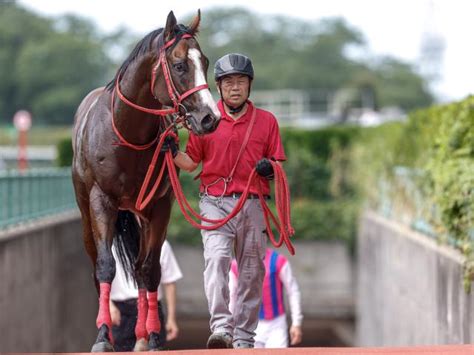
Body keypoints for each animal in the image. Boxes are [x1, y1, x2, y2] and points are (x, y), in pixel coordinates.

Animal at [71, 10, 219, 354]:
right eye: (180, 65)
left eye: (205, 61)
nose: (210, 118)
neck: (127, 133)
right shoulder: (101, 200)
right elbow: (105, 266)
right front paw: (103, 337)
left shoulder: (159, 204)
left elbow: (150, 270)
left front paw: (151, 337)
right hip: (86, 211)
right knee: (97, 265)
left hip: (139, 213)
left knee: (139, 267)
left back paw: (139, 335)